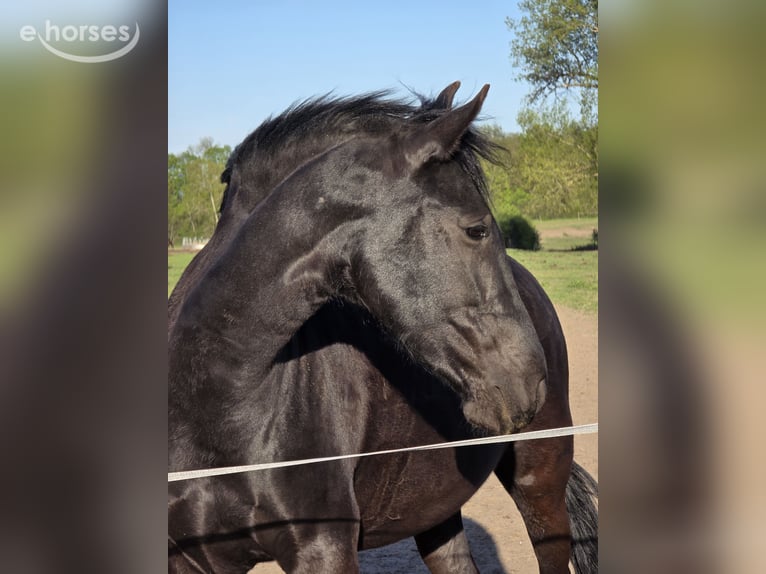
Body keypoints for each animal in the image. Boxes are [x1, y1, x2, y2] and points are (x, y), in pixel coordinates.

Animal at [168, 82, 598, 574]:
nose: (529, 379)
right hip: (433, 507)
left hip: (540, 481)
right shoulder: (191, 558)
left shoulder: (324, 548)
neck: (217, 399)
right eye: (476, 229)